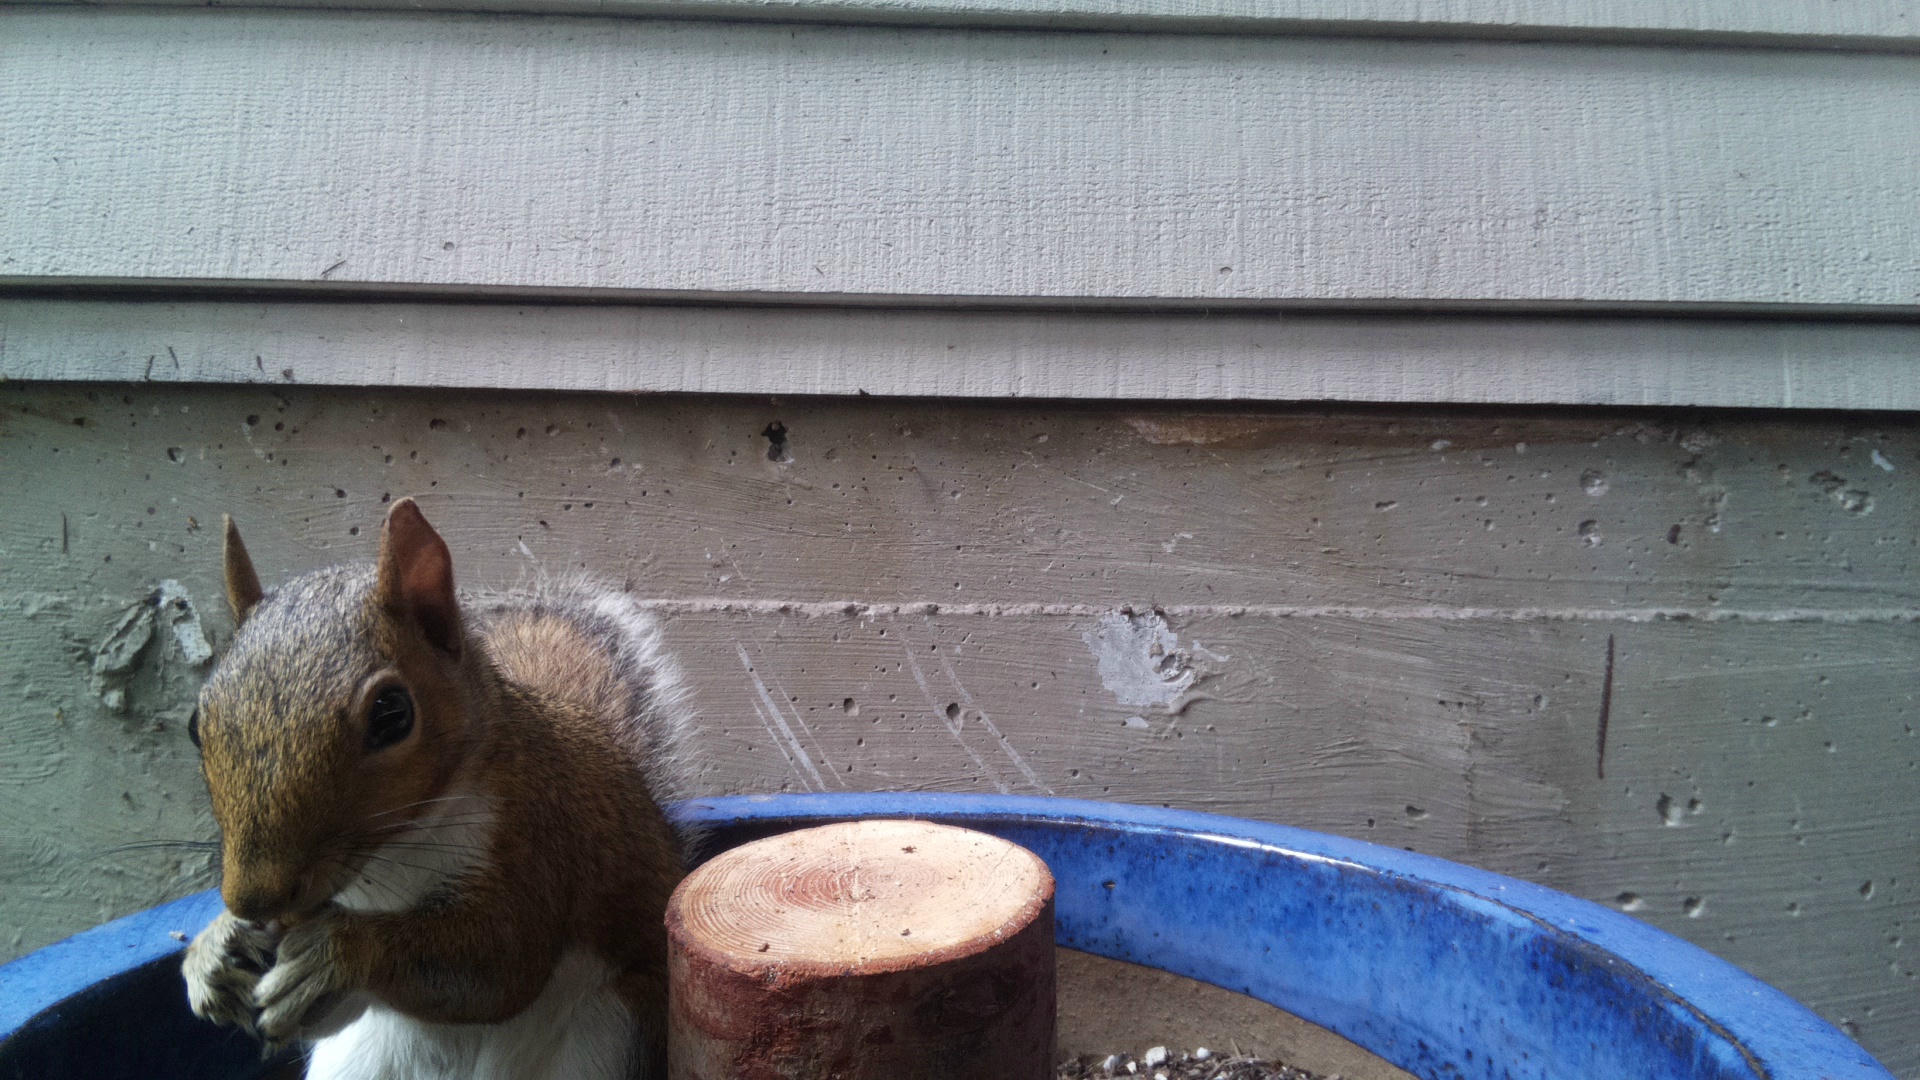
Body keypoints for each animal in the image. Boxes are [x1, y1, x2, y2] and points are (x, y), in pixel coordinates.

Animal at [179, 497, 696, 1080]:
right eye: (195, 723)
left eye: (392, 715)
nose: (253, 899)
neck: (390, 857)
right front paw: (215, 950)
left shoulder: (537, 839)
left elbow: (499, 964)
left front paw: (337, 955)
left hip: (610, 1031)